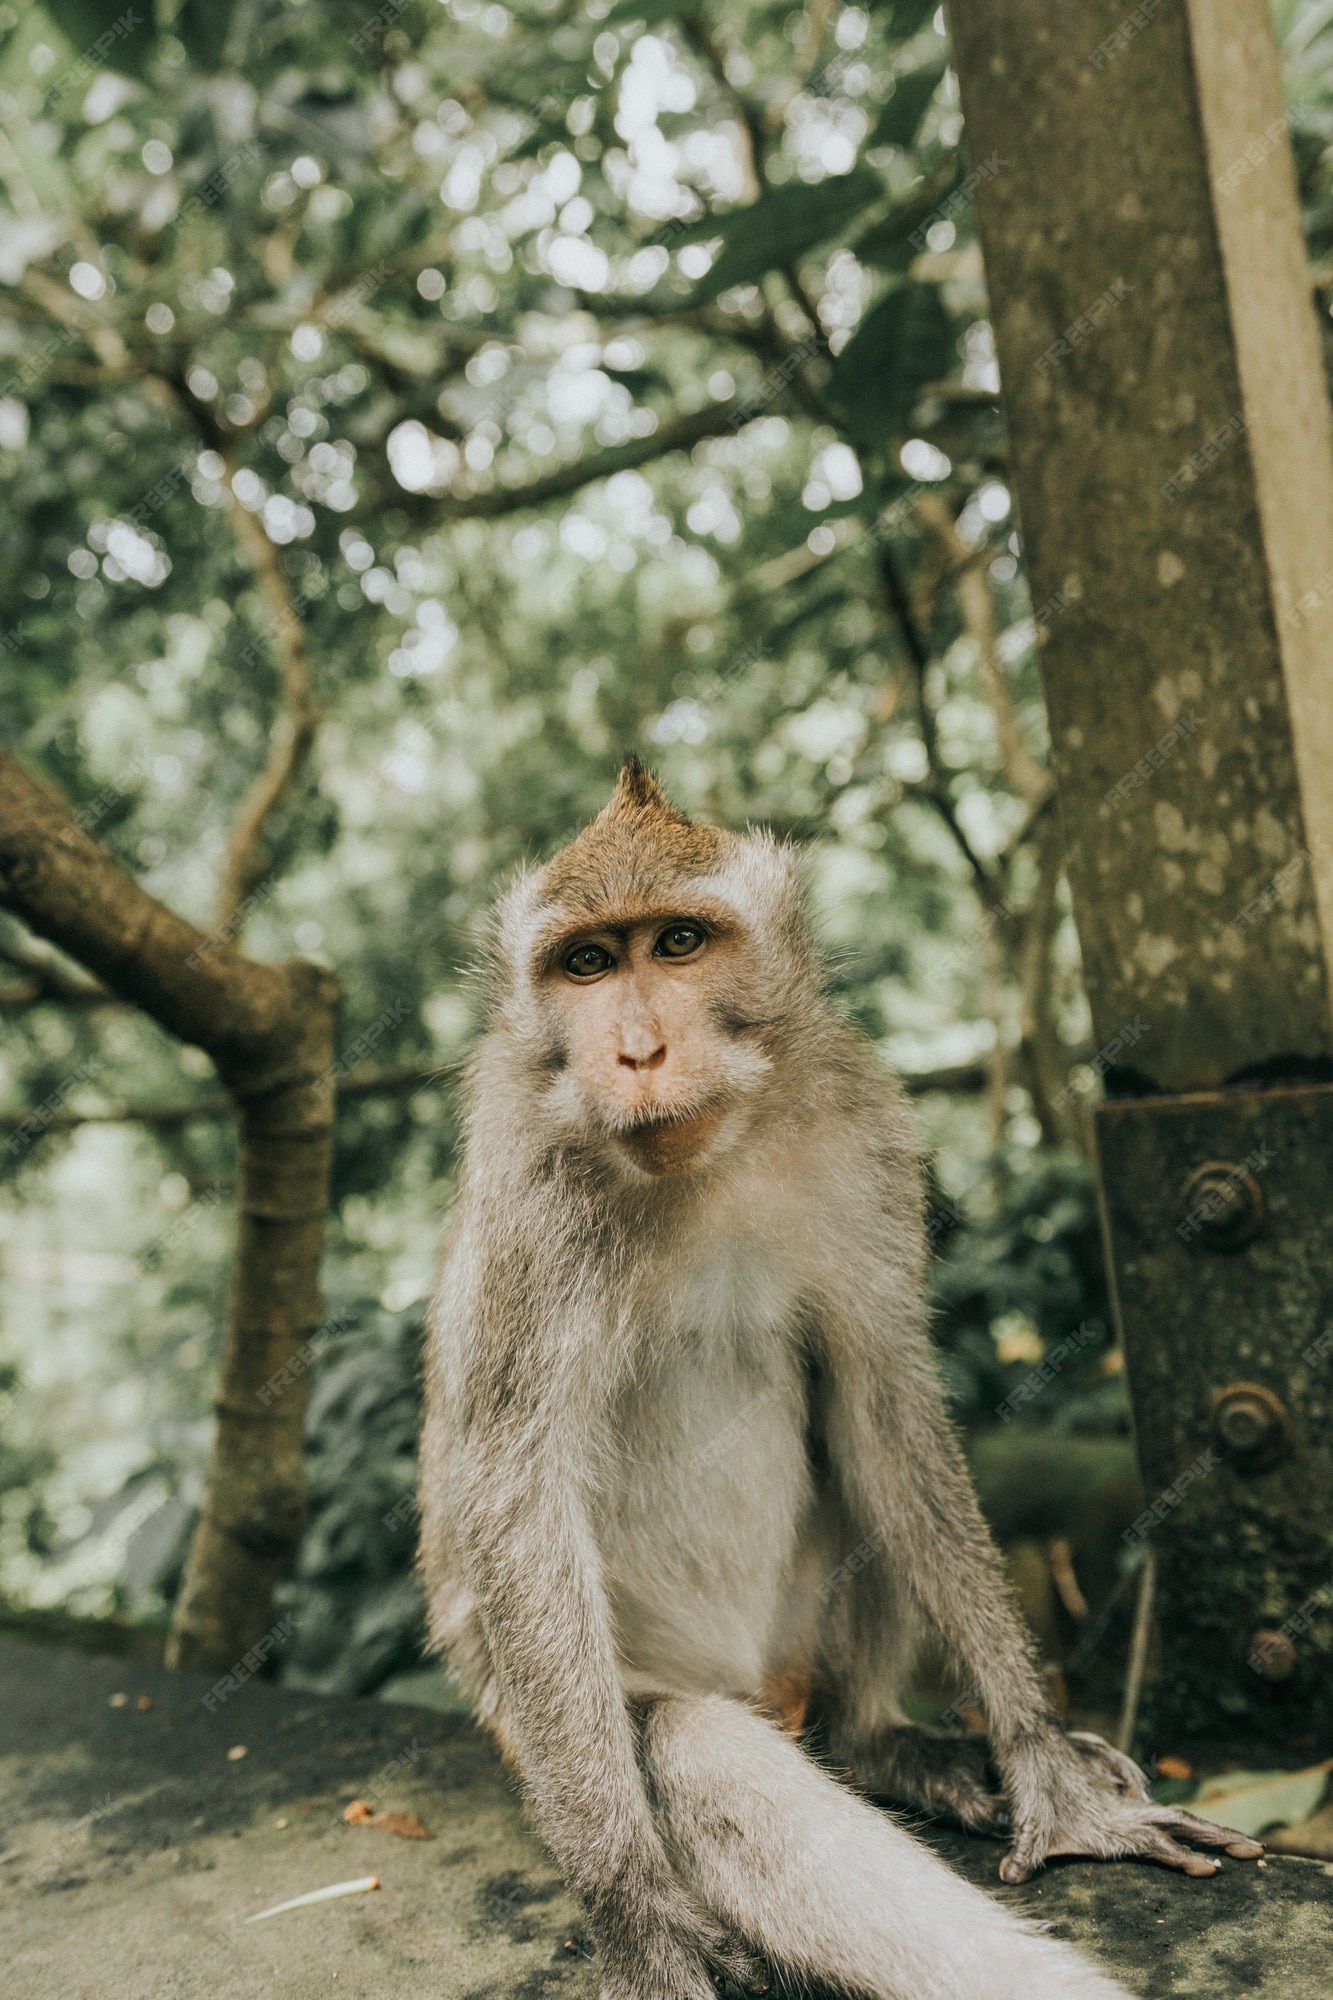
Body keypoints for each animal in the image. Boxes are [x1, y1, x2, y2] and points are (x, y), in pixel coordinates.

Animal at [418, 752, 1256, 2000]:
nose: (636, 1051)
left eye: (676, 942)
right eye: (586, 962)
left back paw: (881, 1741)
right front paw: (633, 1911)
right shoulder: (527, 1176)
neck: (702, 1155)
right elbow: (517, 1496)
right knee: (688, 1740)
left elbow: (881, 1398)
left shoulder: (860, 1126)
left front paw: (1041, 1759)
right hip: (559, 1718)